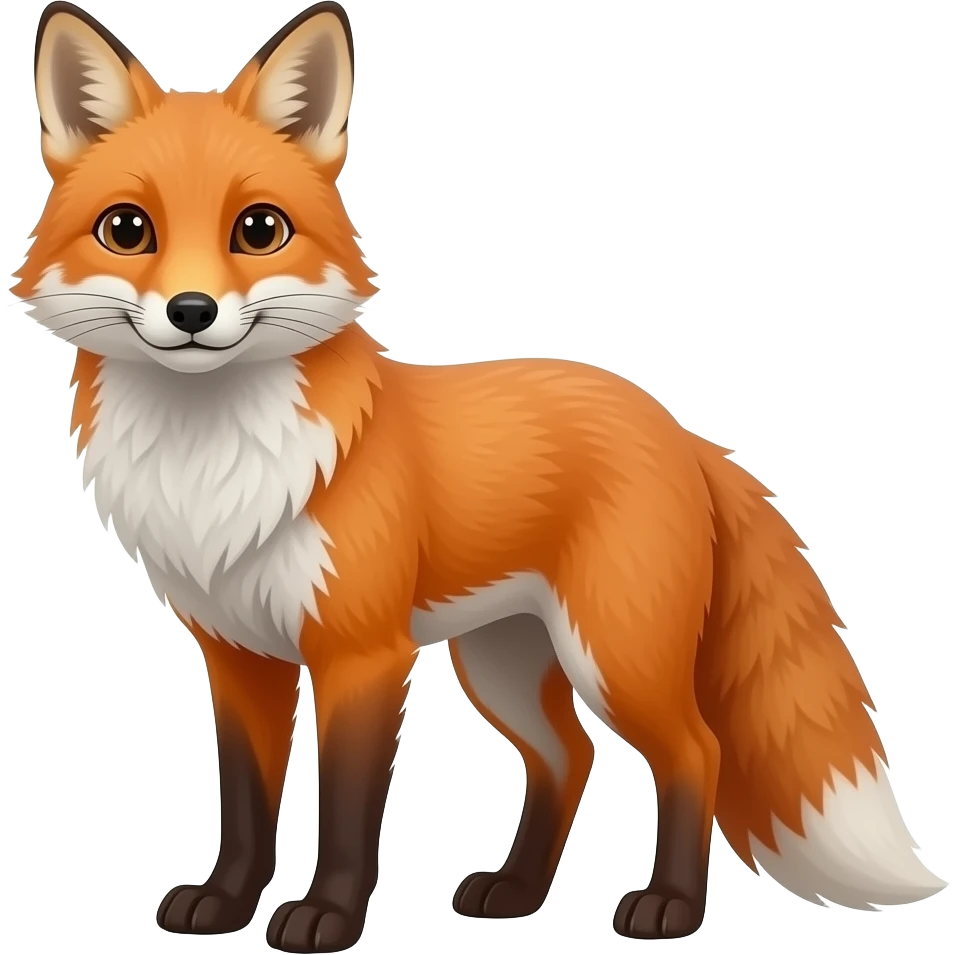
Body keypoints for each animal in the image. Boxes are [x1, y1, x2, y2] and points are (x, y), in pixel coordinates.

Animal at [12, 1, 948, 951]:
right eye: (128, 229)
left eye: (259, 230)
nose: (192, 312)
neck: (211, 463)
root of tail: (679, 428)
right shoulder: (240, 655)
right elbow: (244, 803)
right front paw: (226, 902)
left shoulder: (362, 654)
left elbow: (345, 810)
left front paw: (327, 916)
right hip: (503, 661)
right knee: (569, 757)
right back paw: (517, 891)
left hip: (614, 653)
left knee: (695, 751)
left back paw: (670, 907)